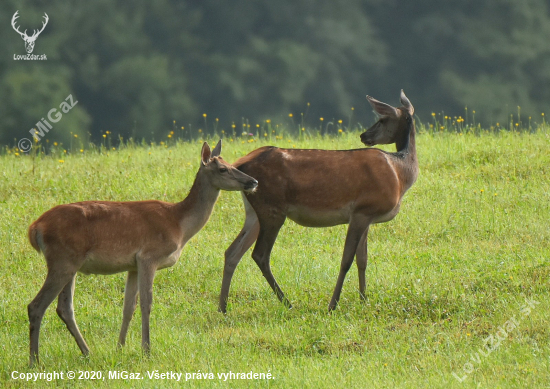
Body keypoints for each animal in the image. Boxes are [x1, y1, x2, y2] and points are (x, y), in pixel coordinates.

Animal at [26, 141, 258, 366]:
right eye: (222, 169)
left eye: (232, 164)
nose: (253, 181)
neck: (178, 224)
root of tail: (35, 228)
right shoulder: (149, 256)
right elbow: (147, 303)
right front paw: (146, 350)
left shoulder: (133, 266)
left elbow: (128, 307)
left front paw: (119, 349)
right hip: (62, 261)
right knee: (36, 306)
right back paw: (35, 361)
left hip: (70, 265)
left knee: (64, 308)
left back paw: (87, 352)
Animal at [219, 89, 418, 310]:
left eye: (382, 119)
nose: (364, 135)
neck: (399, 173)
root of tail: (240, 163)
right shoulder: (362, 210)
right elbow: (346, 259)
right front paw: (333, 304)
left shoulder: (367, 215)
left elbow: (363, 259)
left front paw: (363, 299)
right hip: (272, 208)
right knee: (260, 255)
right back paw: (287, 303)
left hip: (254, 211)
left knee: (232, 252)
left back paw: (223, 307)